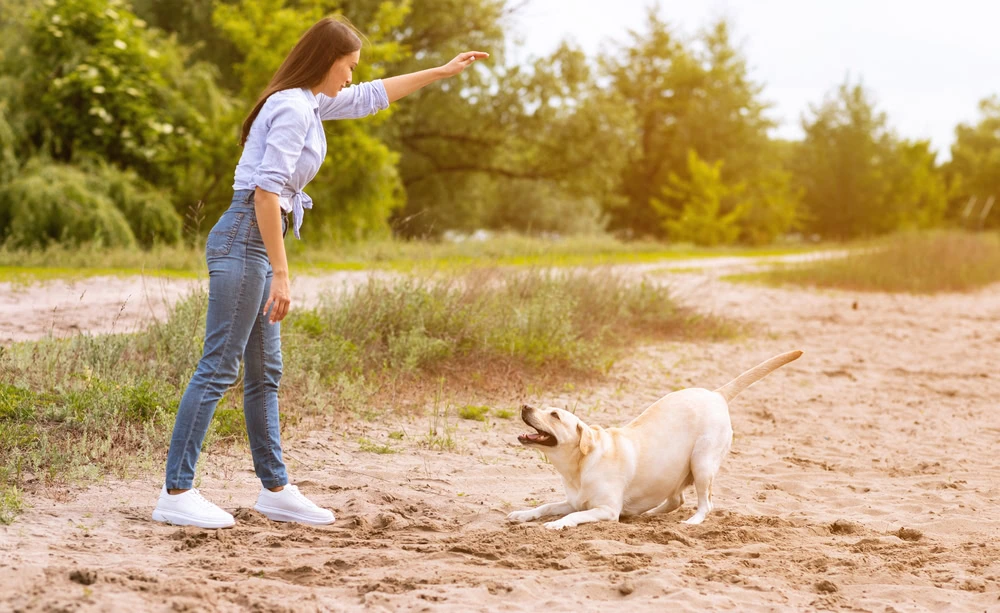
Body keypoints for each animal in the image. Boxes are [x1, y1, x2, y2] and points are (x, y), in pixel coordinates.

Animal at [504, 352, 800, 528]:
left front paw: (557, 524)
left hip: (702, 463)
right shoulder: (573, 500)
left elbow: (573, 515)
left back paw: (693, 521)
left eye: (554, 415)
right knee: (675, 500)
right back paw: (647, 514)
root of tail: (717, 394)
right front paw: (524, 514)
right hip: (674, 470)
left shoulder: (606, 509)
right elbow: (547, 505)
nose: (525, 406)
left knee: (705, 503)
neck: (578, 465)